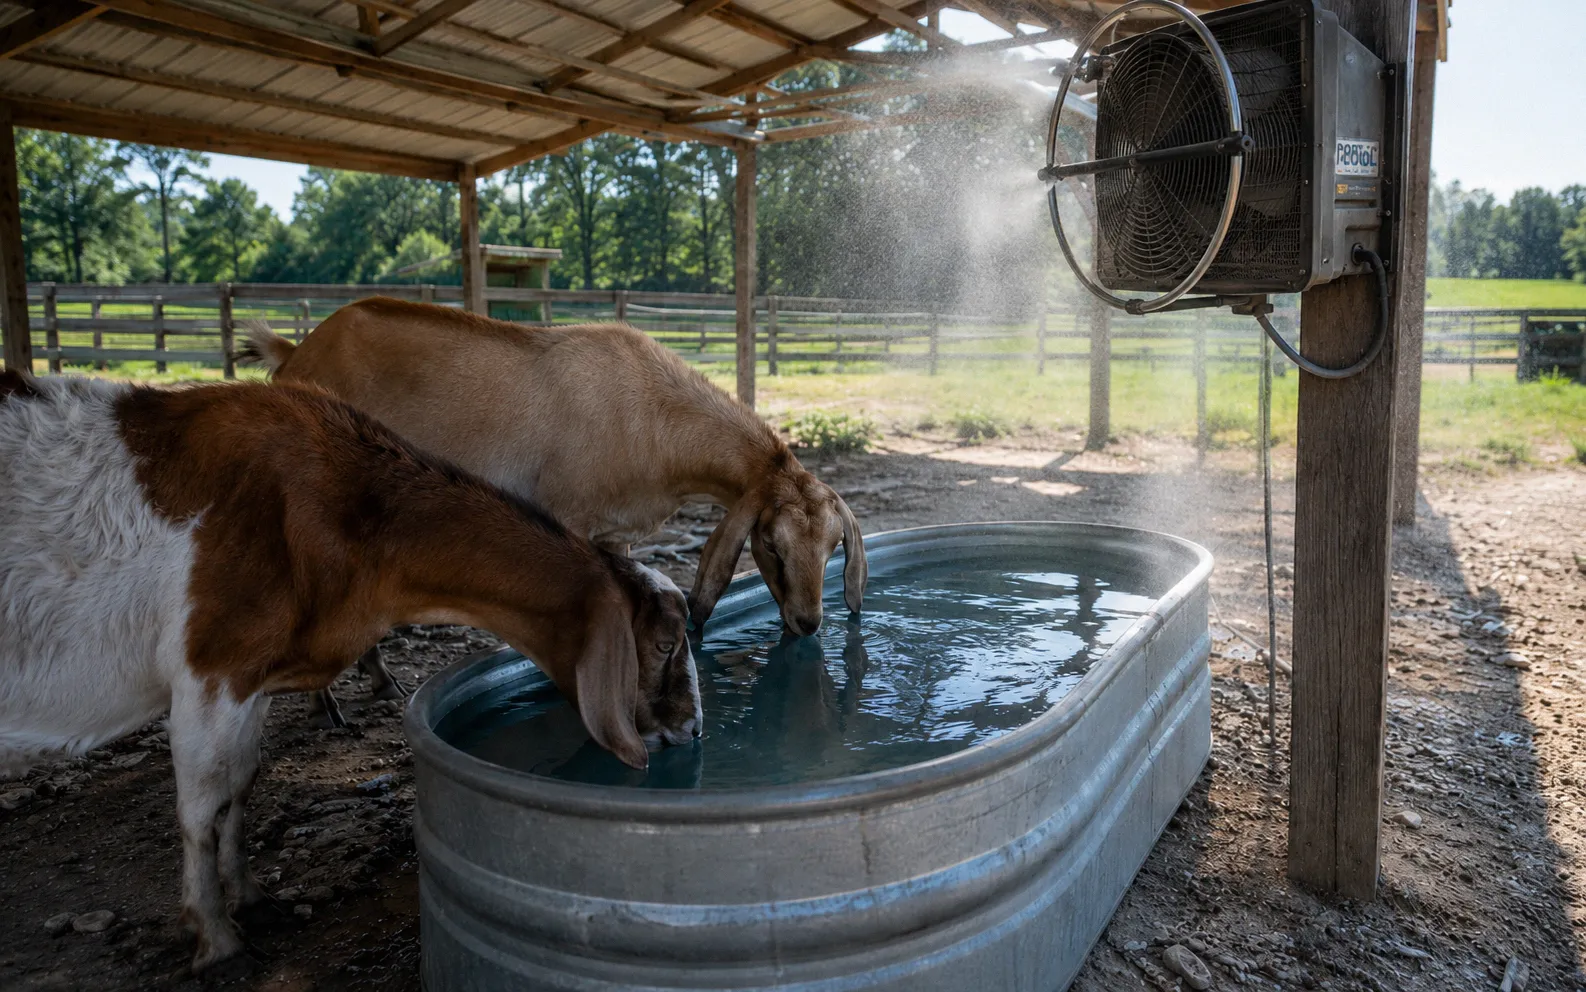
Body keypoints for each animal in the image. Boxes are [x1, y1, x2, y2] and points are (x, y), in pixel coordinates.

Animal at [0, 371, 699, 970]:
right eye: (666, 643)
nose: (693, 731)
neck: (348, 515)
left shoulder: (253, 677)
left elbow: (240, 785)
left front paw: (251, 897)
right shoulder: (210, 666)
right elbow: (201, 805)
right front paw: (217, 936)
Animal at [242, 298, 866, 650]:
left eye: (834, 545)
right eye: (771, 546)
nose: (810, 622)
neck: (650, 415)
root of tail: (293, 354)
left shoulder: (616, 532)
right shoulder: (564, 515)